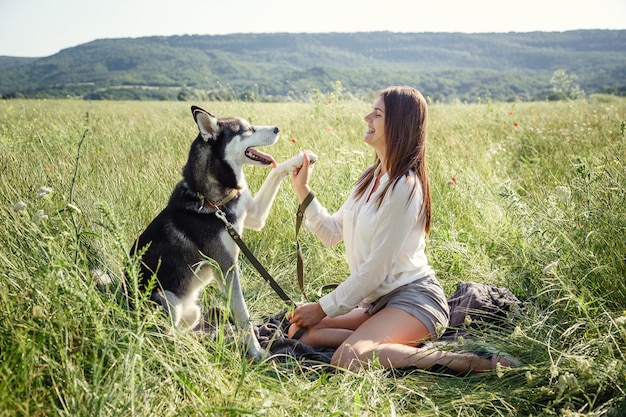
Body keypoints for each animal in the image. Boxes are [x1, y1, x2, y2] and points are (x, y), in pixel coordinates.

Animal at [132, 106, 316, 358]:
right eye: (247, 130)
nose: (277, 128)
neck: (212, 201)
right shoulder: (226, 266)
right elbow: (243, 313)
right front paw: (257, 352)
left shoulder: (254, 215)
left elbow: (275, 172)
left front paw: (302, 160)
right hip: (165, 299)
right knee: (163, 338)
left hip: (191, 312)